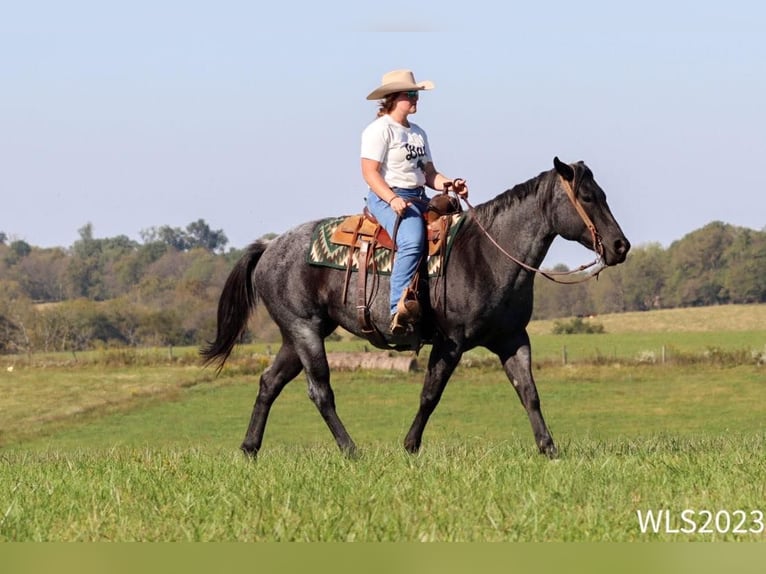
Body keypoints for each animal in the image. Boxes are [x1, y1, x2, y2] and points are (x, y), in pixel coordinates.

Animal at [201, 158, 632, 460]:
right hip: (304, 331)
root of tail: (269, 247)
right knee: (320, 391)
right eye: (588, 197)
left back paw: (249, 449)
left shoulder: (512, 339)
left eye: (605, 194)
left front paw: (549, 448)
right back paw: (352, 452)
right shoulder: (451, 342)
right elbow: (430, 394)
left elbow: (529, 392)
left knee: (269, 383)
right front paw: (409, 446)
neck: (487, 254)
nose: (620, 246)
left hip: (298, 336)